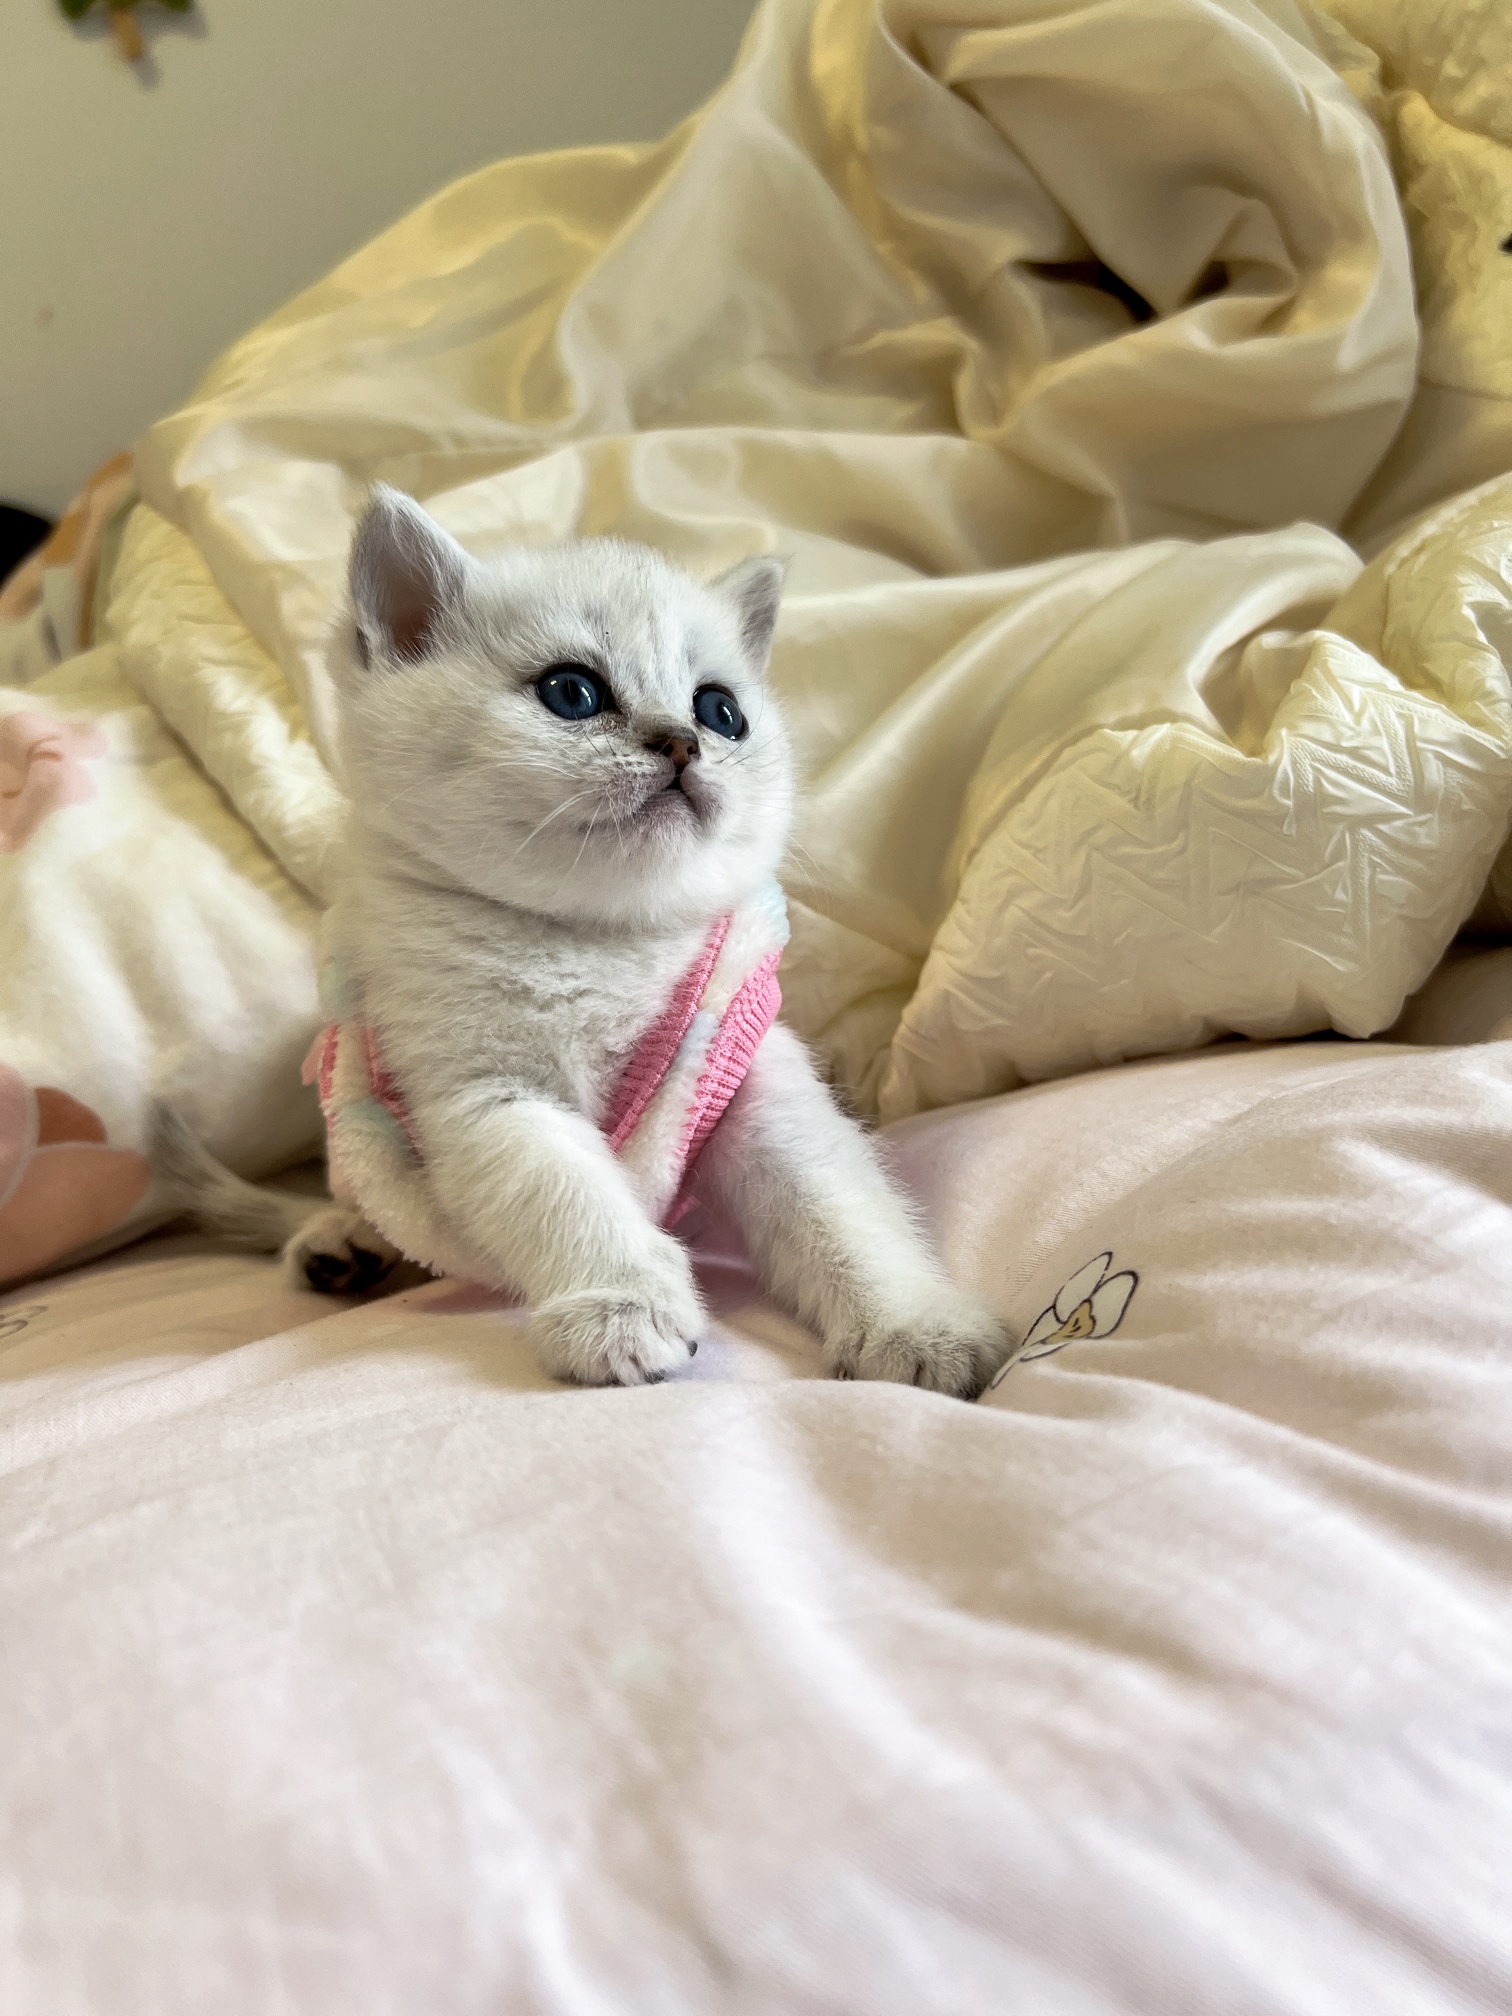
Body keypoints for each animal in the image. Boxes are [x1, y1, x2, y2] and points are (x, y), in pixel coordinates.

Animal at [168, 488, 1011, 1395]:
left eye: (722, 711)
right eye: (571, 692)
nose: (683, 740)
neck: (599, 939)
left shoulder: (744, 1073)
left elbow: (837, 1203)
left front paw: (916, 1324)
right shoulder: (483, 1091)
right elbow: (565, 1192)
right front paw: (622, 1308)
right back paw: (338, 1242)